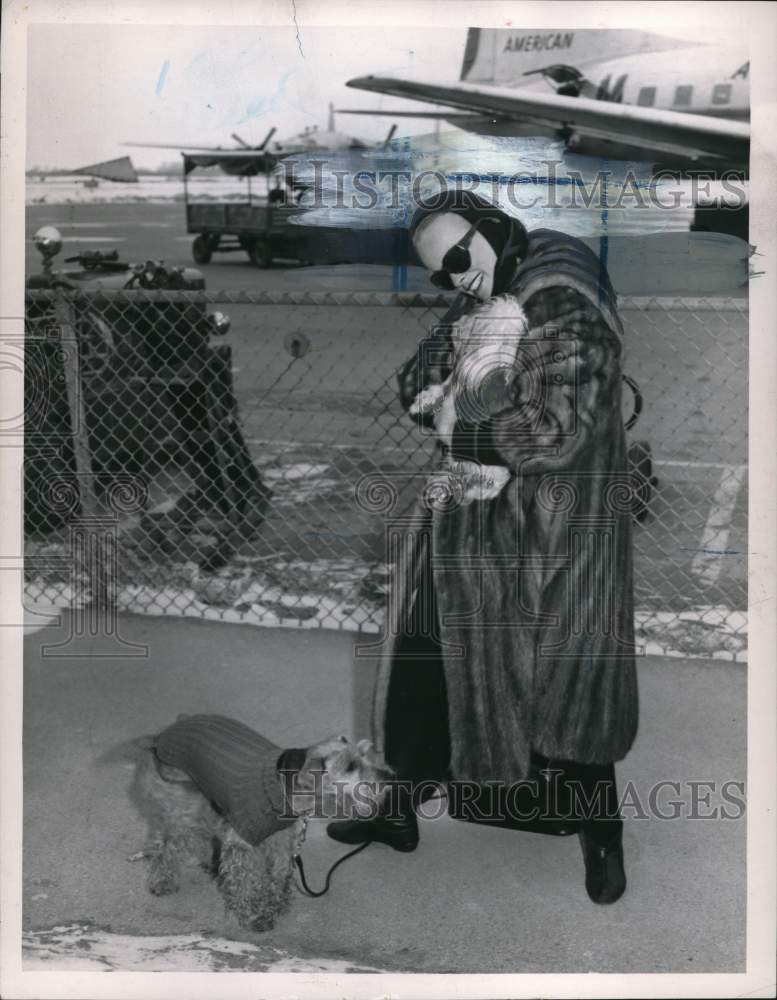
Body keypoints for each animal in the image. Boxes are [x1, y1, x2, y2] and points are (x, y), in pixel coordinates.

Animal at [130, 716, 394, 932]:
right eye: (350, 767)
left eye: (365, 753)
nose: (390, 777)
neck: (285, 787)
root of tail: (163, 734)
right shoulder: (244, 843)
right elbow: (246, 881)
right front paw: (253, 916)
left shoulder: (282, 840)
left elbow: (279, 874)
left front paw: (276, 904)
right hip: (187, 807)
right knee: (166, 846)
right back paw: (162, 880)